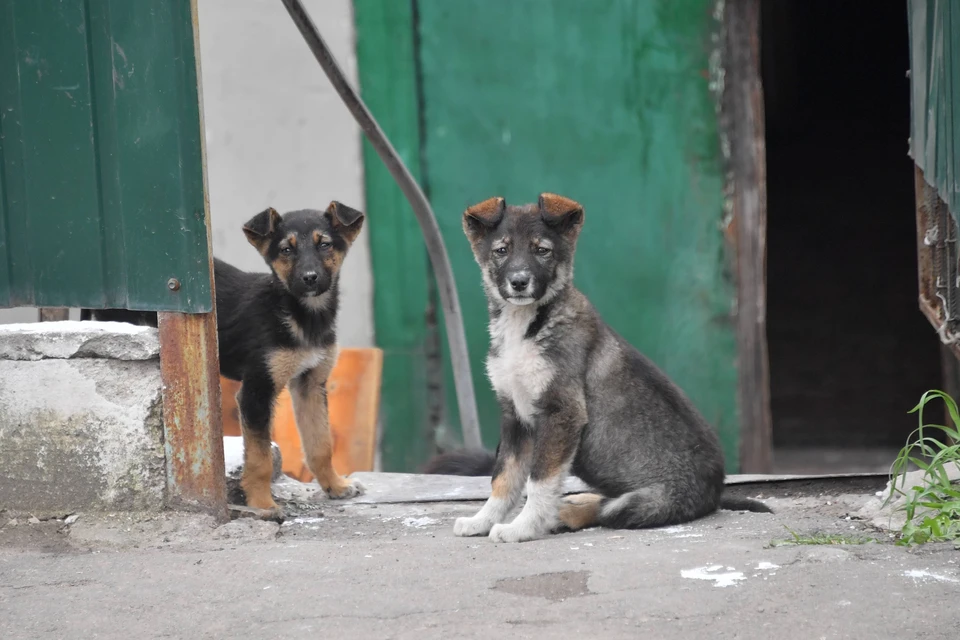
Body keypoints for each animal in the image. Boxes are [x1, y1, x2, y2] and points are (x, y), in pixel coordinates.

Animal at [452, 192, 772, 544]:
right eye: (501, 251)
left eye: (542, 251)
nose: (519, 282)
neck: (526, 326)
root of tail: (716, 493)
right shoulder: (515, 415)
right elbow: (503, 478)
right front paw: (482, 520)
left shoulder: (561, 412)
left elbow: (540, 481)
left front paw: (524, 527)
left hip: (644, 502)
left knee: (608, 508)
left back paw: (565, 513)